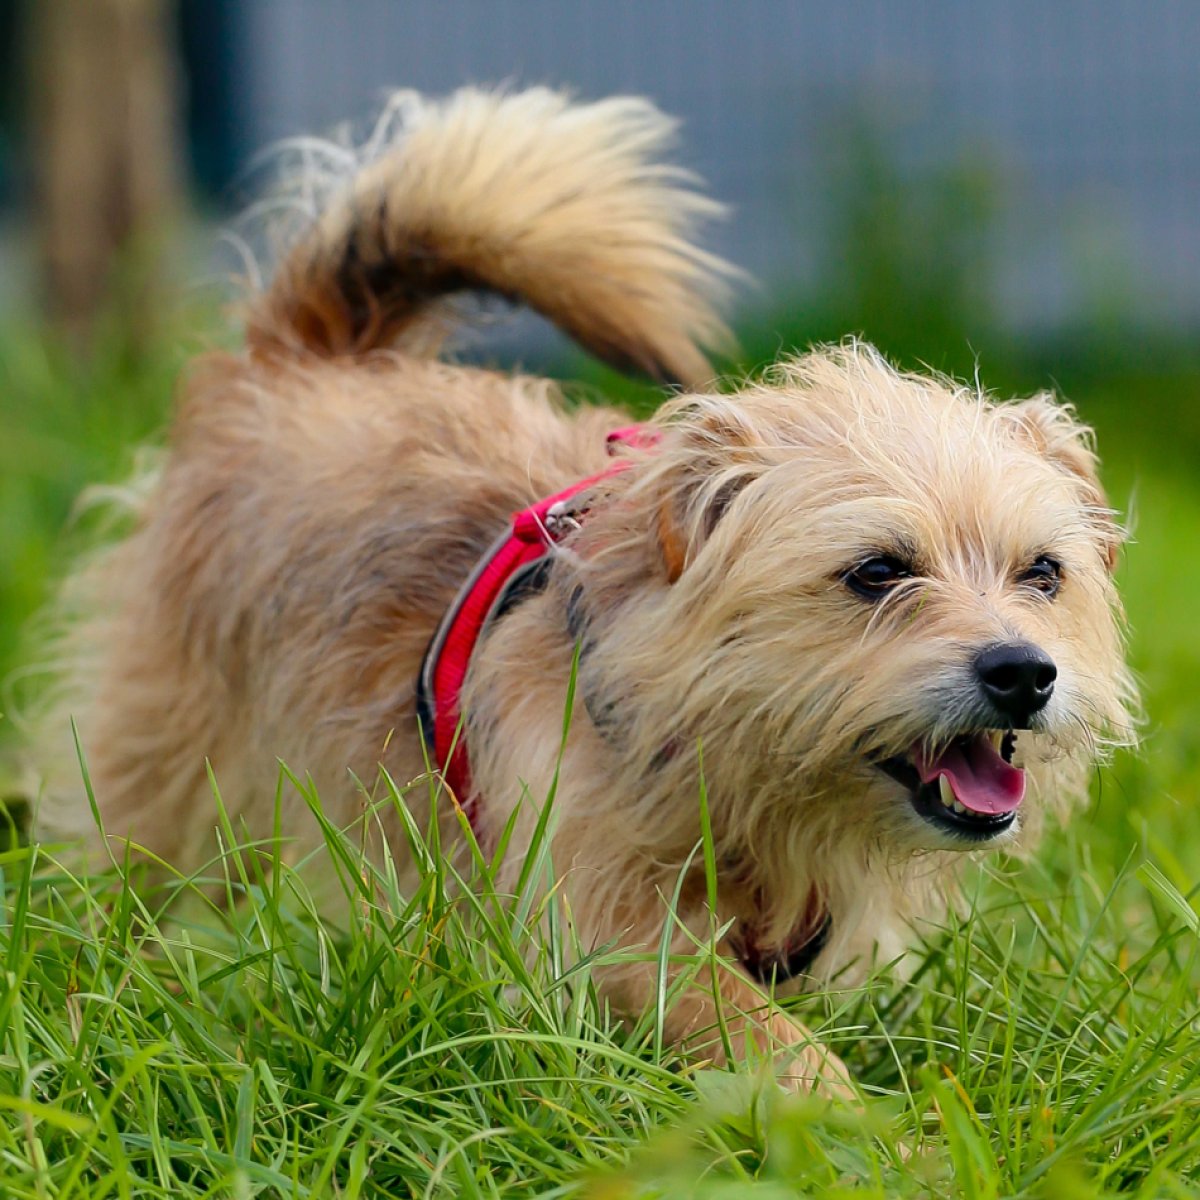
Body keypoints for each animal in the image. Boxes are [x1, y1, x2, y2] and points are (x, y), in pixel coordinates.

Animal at [29, 87, 1135, 1094]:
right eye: (877, 572)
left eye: (1043, 574)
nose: (1024, 673)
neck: (730, 759)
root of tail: (302, 360)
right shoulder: (609, 922)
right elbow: (763, 1035)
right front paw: (872, 1140)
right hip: (170, 779)